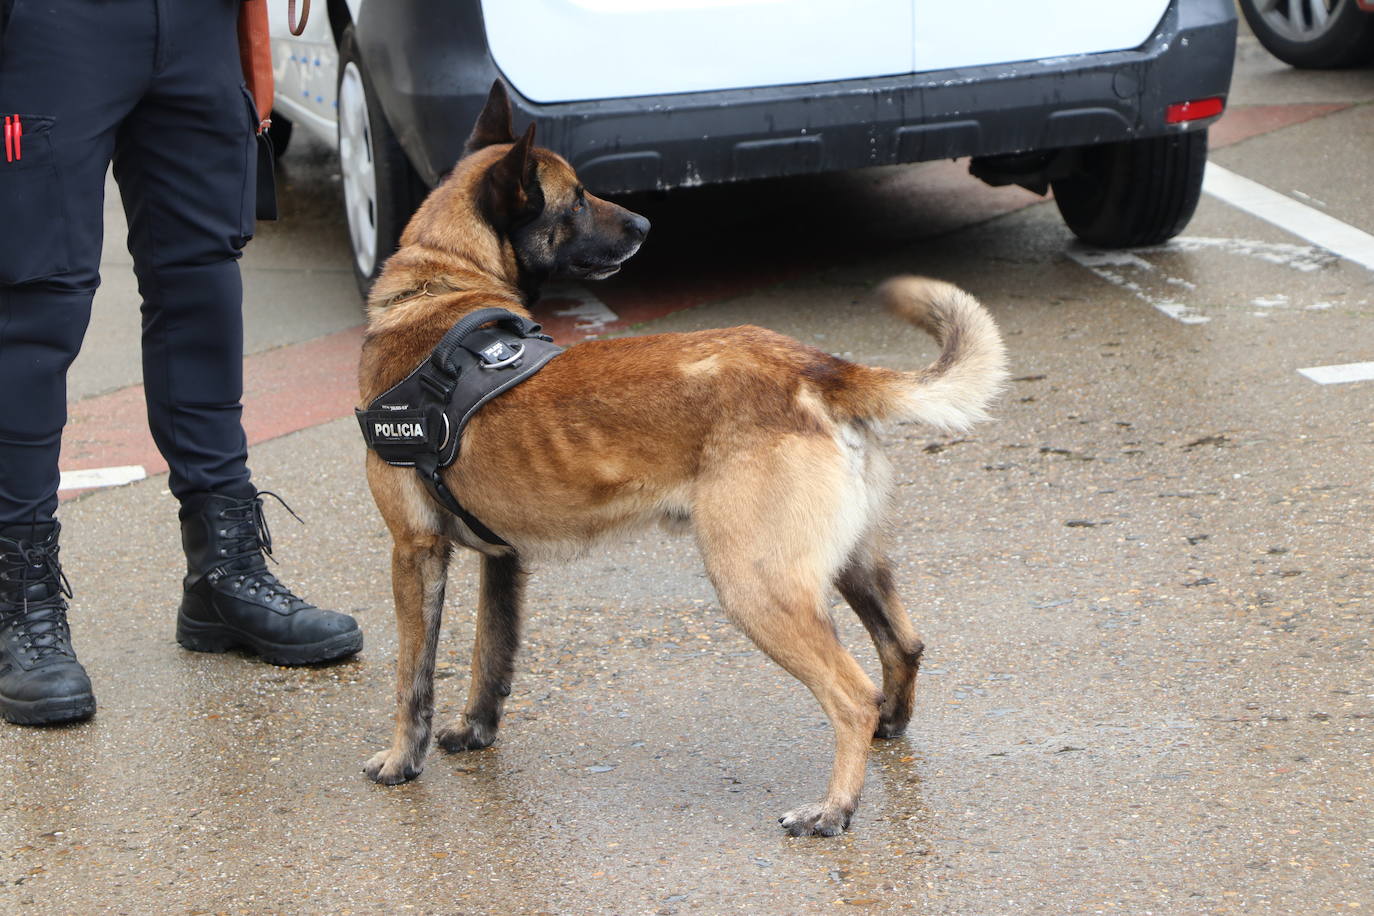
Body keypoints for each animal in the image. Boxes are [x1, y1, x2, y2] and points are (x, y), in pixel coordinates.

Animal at [357, 82, 1011, 834]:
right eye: (575, 201)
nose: (645, 223)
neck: (441, 285)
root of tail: (817, 366)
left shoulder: (414, 551)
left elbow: (412, 674)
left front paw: (401, 761)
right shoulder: (503, 559)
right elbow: (488, 658)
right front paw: (473, 731)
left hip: (754, 585)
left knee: (851, 694)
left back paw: (834, 808)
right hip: (850, 564)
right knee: (901, 649)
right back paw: (887, 734)